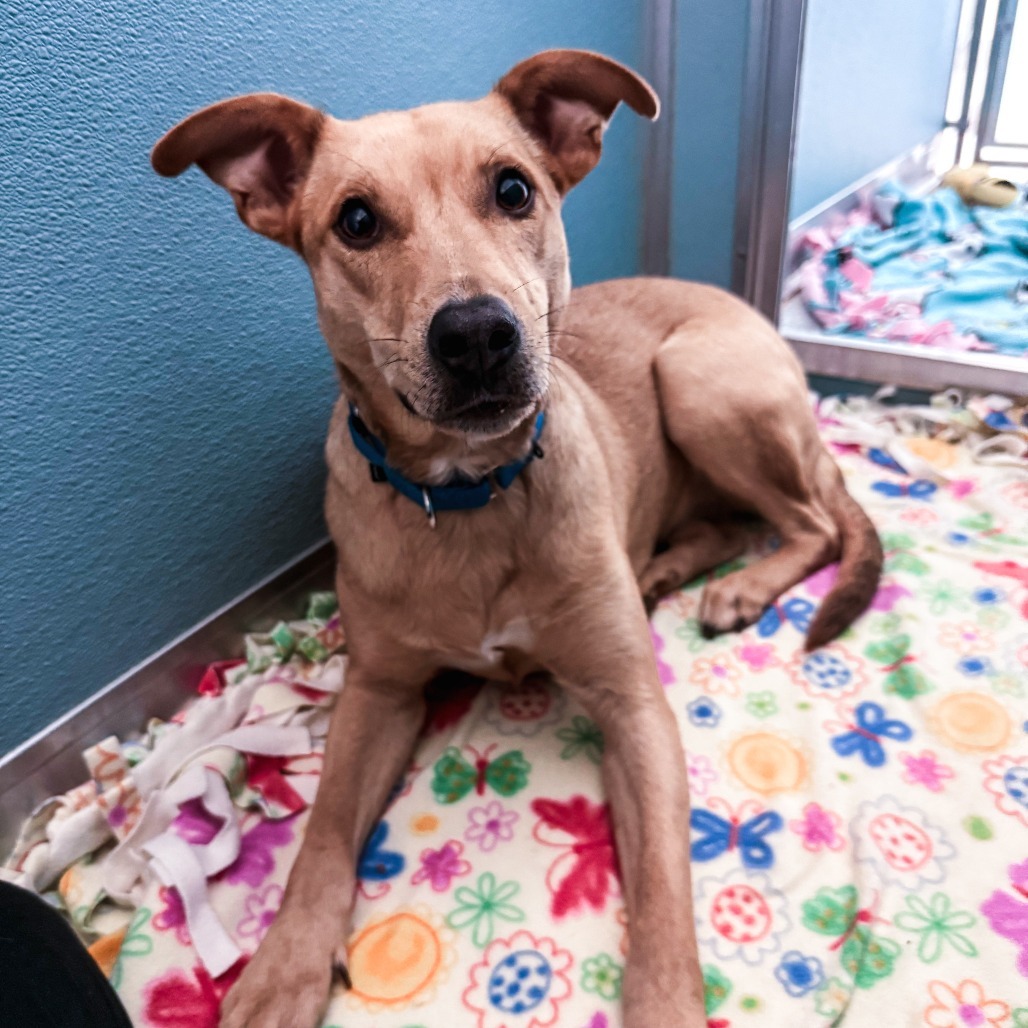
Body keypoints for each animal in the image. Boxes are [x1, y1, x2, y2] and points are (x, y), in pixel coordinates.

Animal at [154, 50, 884, 1028]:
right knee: (739, 519)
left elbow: (664, 891)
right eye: (356, 220)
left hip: (696, 377)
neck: (468, 496)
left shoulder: (633, 708)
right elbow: (323, 833)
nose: (475, 335)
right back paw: (671, 566)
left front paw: (665, 1001)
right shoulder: (378, 693)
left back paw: (737, 583)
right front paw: (281, 969)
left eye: (513, 189)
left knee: (811, 520)